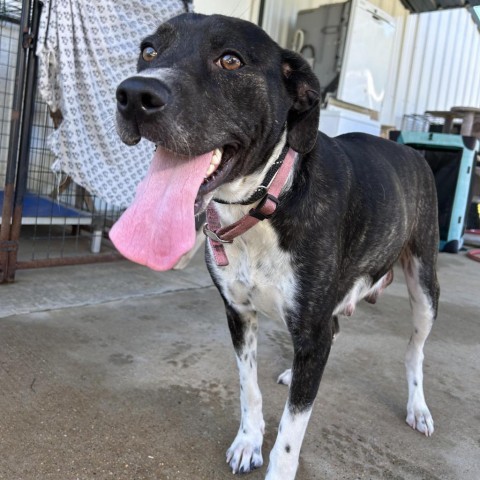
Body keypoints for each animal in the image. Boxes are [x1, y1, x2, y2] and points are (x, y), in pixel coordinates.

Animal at [111, 12, 438, 480]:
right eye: (149, 51)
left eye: (230, 60)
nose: (135, 94)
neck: (263, 205)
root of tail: (408, 149)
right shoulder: (238, 313)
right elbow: (248, 389)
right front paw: (249, 441)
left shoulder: (312, 329)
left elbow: (290, 433)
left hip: (425, 288)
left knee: (414, 351)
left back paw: (418, 407)